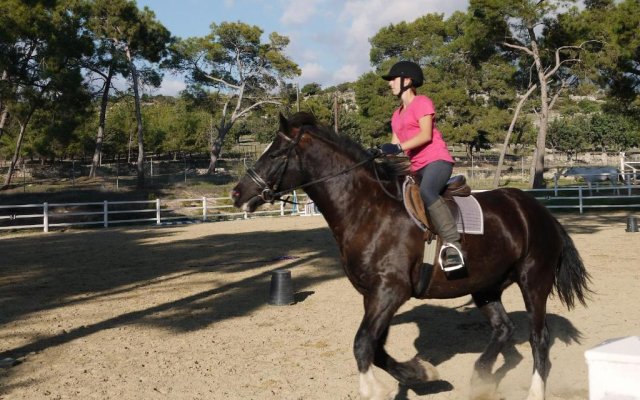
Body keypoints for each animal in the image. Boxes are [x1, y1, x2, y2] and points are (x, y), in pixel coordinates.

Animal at [230, 112, 592, 400]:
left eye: (276, 152)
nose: (237, 193)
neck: (367, 210)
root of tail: (538, 211)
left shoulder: (391, 291)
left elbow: (363, 344)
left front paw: (375, 389)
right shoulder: (373, 296)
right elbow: (376, 348)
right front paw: (422, 374)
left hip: (534, 282)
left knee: (539, 339)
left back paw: (533, 391)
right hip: (485, 286)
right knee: (504, 329)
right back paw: (480, 378)